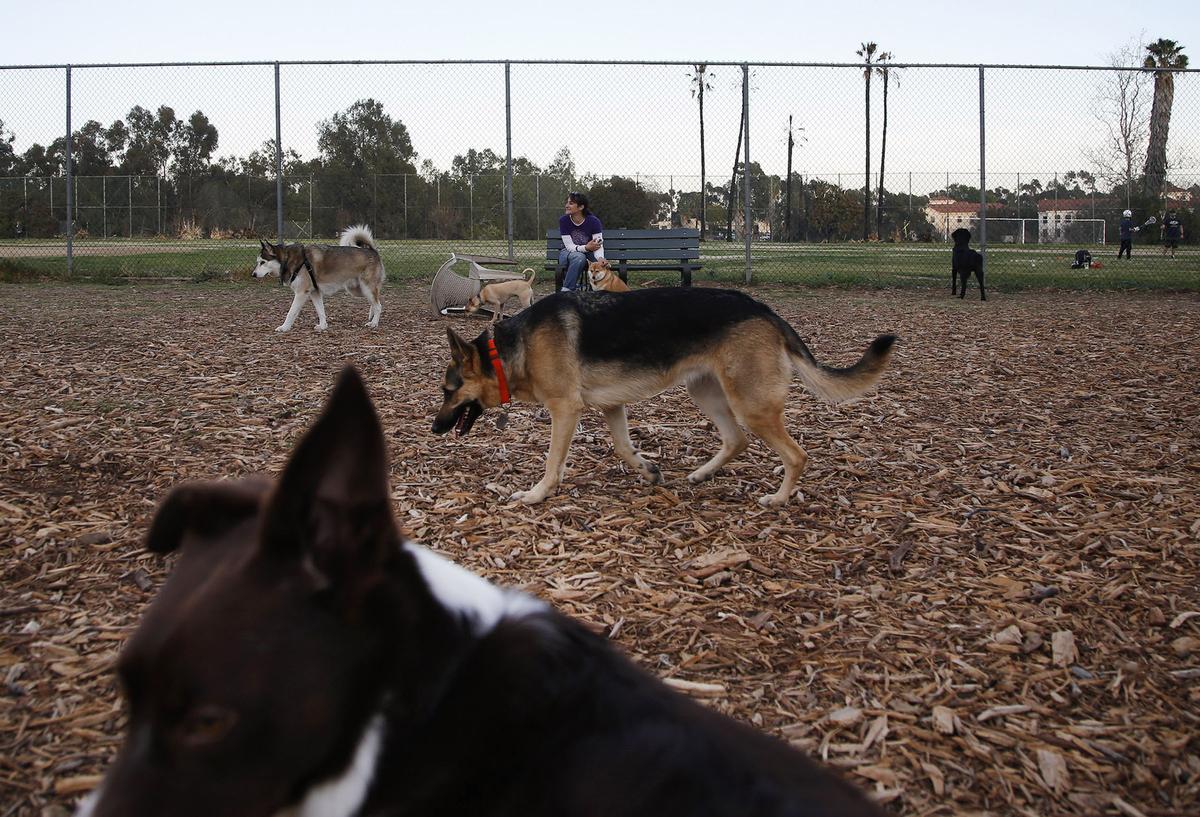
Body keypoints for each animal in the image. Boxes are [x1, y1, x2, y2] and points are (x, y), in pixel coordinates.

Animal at [253, 223, 384, 331]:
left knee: (378, 305)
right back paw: (371, 316)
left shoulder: (301, 293)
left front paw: (284, 327)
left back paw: (374, 323)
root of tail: (373, 251)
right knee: (376, 302)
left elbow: (291, 313)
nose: (253, 274)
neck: (290, 260)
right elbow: (320, 311)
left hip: (366, 288)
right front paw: (323, 326)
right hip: (357, 290)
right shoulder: (315, 292)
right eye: (258, 262)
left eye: (263, 262)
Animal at [436, 286, 897, 503]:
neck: (510, 350)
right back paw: (702, 474)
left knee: (795, 455)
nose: (434, 428)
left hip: (750, 404)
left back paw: (779, 499)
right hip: (706, 393)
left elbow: (552, 464)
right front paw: (648, 471)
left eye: (448, 390)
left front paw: (535, 495)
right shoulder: (611, 406)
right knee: (737, 441)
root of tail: (765, 310)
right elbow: (624, 449)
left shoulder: (565, 411)